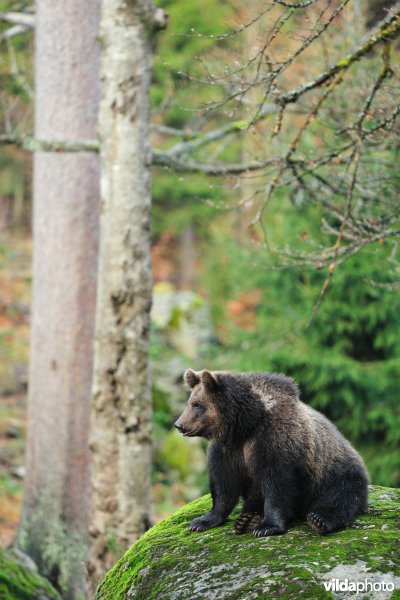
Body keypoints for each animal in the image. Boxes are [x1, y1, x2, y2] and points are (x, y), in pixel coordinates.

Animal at [174, 368, 368, 536]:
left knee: (340, 498)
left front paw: (267, 526)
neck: (245, 425)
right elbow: (224, 483)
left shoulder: (275, 441)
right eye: (190, 402)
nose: (179, 425)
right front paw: (201, 521)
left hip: (337, 475)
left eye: (197, 405)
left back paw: (318, 519)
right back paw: (247, 519)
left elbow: (277, 484)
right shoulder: (228, 449)